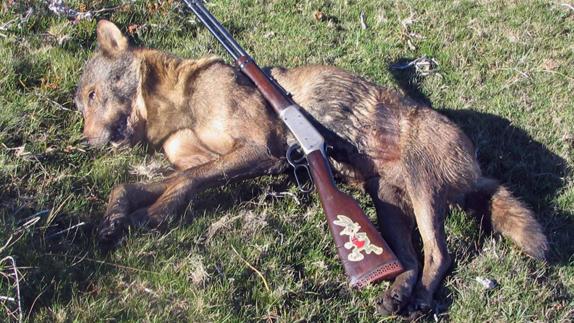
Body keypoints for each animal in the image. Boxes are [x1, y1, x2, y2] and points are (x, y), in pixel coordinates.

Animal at [75, 20, 548, 316]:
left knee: (439, 254)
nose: (86, 143)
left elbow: (185, 182)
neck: (181, 104)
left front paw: (153, 215)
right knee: (410, 259)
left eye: (94, 95)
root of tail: (475, 167)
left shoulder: (260, 152)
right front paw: (117, 215)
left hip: (421, 189)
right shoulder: (211, 158)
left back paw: (420, 300)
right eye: (81, 105)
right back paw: (395, 294)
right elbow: (143, 184)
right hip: (387, 202)